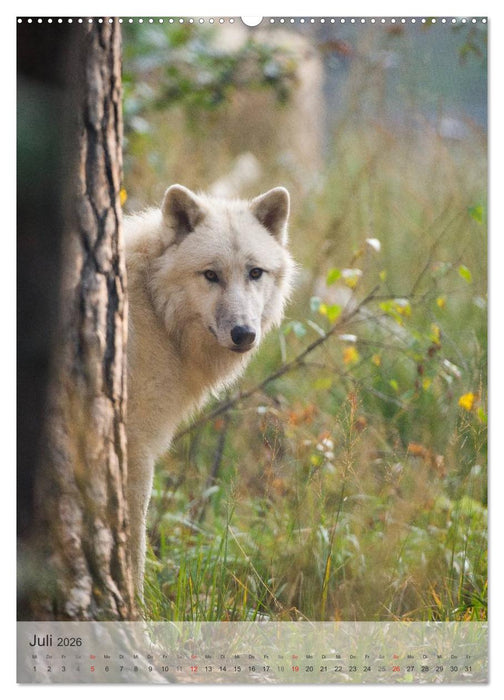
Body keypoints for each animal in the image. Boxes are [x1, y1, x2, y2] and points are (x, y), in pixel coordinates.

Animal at [123, 184, 295, 596]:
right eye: (211, 275)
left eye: (255, 273)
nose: (244, 334)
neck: (154, 309)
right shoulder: (137, 449)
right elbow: (135, 550)